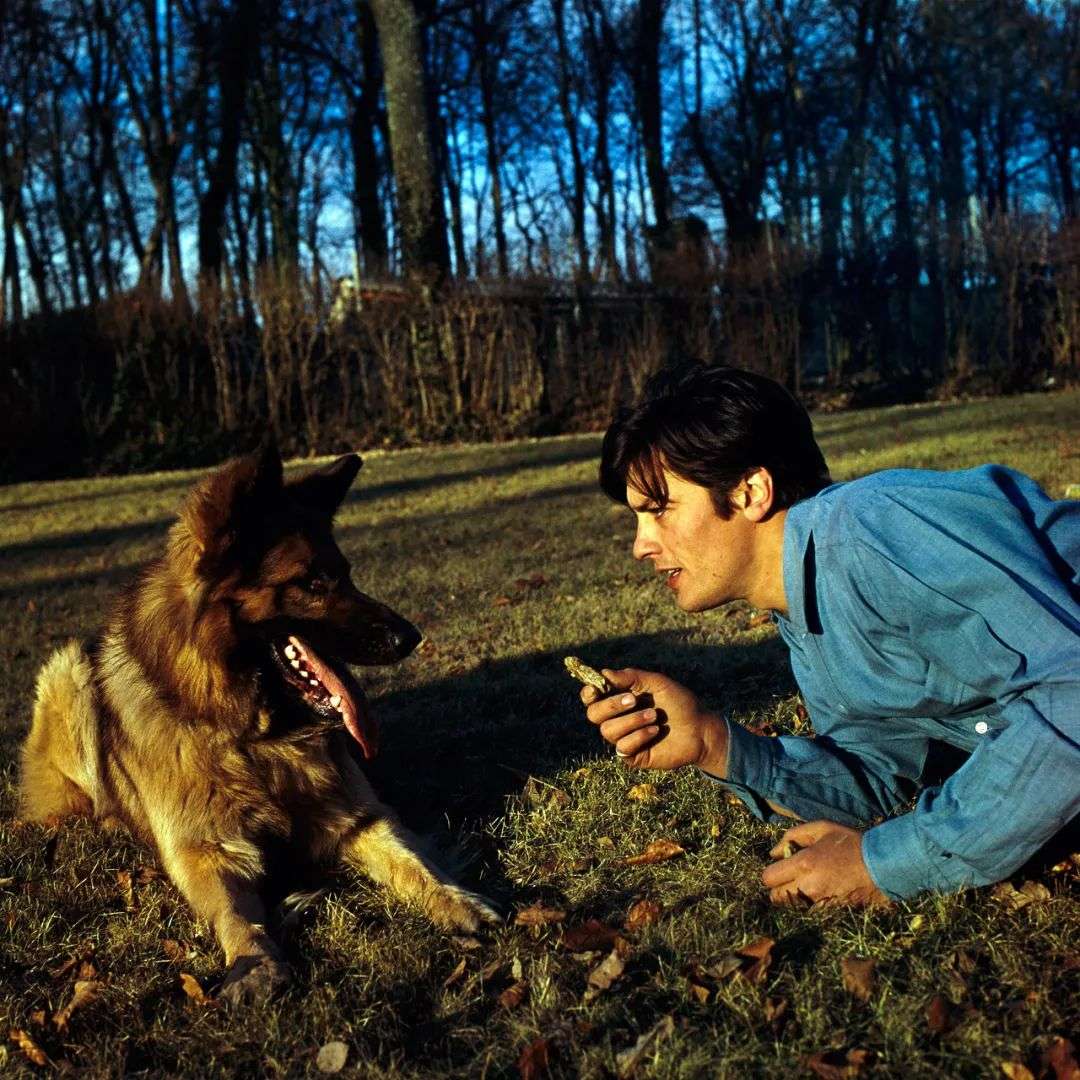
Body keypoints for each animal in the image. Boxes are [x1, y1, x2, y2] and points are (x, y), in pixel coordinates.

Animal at [19, 443, 497, 1002]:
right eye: (312, 583)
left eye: (347, 574)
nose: (411, 637)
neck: (255, 738)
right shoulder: (205, 850)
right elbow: (233, 913)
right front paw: (254, 962)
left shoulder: (359, 816)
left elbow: (413, 862)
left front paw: (459, 900)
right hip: (68, 670)